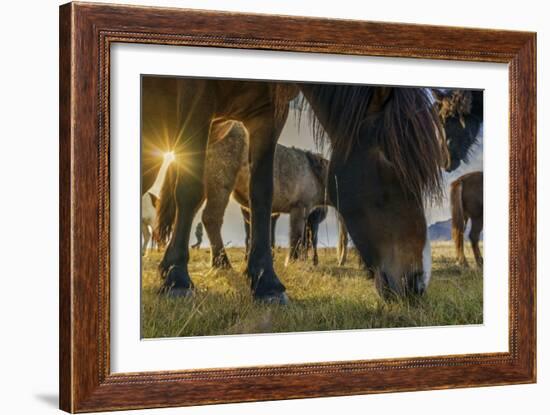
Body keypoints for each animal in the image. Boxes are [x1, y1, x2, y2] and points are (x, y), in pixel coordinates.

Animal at [146, 75, 448, 302]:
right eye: (388, 160)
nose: (417, 283)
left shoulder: (270, 112)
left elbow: (263, 194)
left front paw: (266, 282)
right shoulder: (197, 94)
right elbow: (188, 190)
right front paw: (177, 279)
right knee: (205, 213)